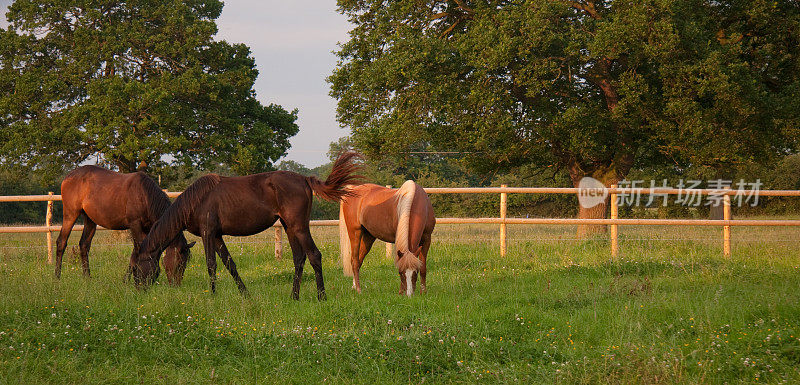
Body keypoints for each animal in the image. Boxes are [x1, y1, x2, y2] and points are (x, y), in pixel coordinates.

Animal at [55, 165, 195, 282]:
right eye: (180, 263)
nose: (176, 284)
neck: (145, 196)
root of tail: (68, 176)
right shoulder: (135, 225)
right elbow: (138, 250)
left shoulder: (147, 229)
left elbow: (135, 253)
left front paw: (127, 279)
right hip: (70, 214)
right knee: (61, 242)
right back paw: (57, 277)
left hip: (90, 220)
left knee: (84, 245)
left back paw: (87, 277)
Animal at [132, 151, 362, 300]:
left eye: (137, 267)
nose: (138, 290)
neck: (196, 200)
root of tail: (305, 179)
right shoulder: (217, 236)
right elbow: (230, 264)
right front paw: (245, 294)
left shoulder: (208, 233)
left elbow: (211, 264)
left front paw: (213, 296)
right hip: (289, 227)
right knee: (299, 259)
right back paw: (294, 297)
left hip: (299, 227)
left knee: (314, 255)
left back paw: (322, 296)